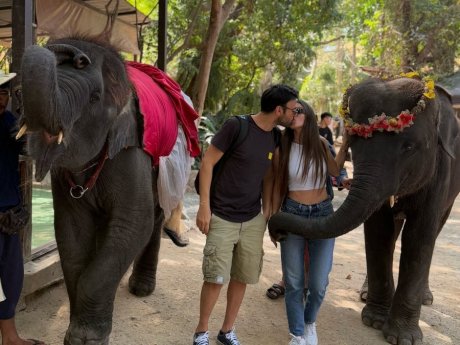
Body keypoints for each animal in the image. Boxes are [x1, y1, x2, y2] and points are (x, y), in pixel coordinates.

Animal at [18, 37, 198, 344]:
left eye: (94, 98)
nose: (70, 50)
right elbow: (71, 233)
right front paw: (76, 333)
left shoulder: (131, 152)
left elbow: (132, 225)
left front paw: (87, 339)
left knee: (154, 219)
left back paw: (141, 289)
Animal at [270, 76, 460, 344]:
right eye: (353, 141)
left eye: (409, 147)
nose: (277, 232)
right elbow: (379, 230)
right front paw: (374, 321)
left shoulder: (441, 173)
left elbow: (420, 236)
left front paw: (403, 338)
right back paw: (366, 293)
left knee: (436, 228)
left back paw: (426, 298)